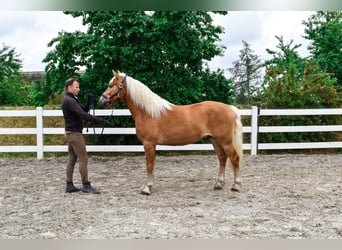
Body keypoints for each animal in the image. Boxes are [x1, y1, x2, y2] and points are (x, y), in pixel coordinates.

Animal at [99, 70, 243, 195]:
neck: (147, 113)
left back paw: (236, 186)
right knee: (222, 158)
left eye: (111, 85)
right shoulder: (151, 144)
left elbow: (149, 164)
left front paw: (147, 188)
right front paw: (152, 186)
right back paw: (219, 184)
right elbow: (151, 164)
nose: (102, 101)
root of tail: (230, 108)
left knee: (234, 158)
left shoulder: (148, 143)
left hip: (225, 141)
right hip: (214, 140)